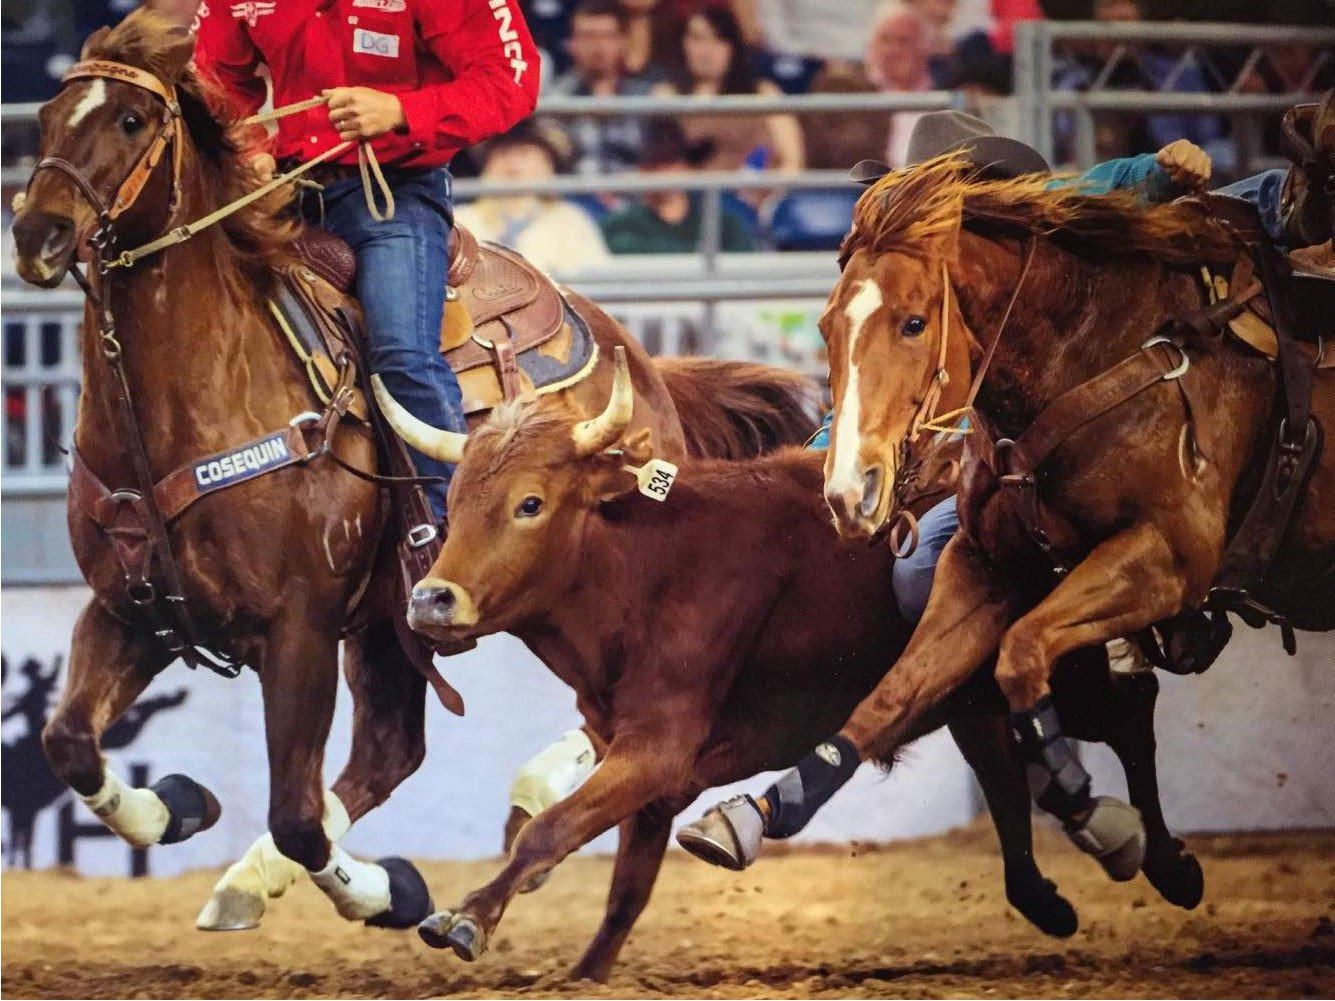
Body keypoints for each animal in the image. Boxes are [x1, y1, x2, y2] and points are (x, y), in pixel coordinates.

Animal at [13, 5, 811, 934]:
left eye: (133, 120)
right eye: (45, 118)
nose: (37, 235)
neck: (187, 406)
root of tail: (637, 360)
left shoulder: (299, 626)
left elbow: (297, 814)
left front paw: (382, 888)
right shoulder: (131, 609)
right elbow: (70, 742)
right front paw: (179, 805)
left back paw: (532, 789)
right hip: (389, 621)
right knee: (390, 751)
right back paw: (251, 877)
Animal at [758, 150, 1329, 848]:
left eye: (914, 323)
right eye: (824, 327)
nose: (848, 492)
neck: (1098, 353)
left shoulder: (1167, 559)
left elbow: (1022, 651)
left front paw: (1086, 804)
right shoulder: (986, 566)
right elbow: (895, 691)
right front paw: (759, 812)